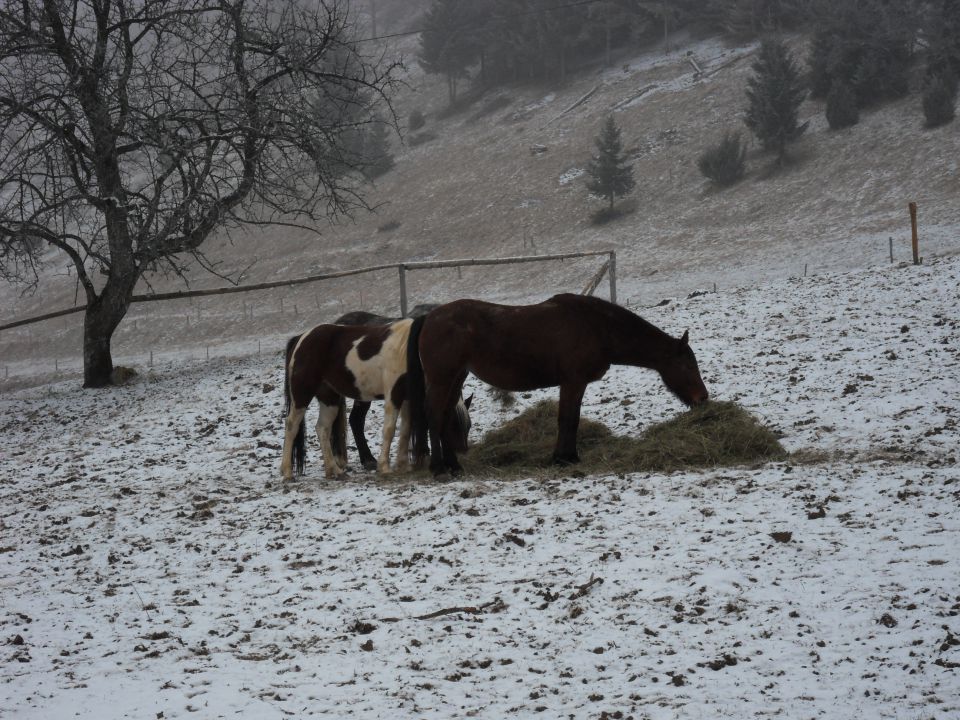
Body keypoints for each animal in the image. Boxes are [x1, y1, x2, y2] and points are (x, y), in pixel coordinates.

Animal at [402, 292, 708, 478]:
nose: (702, 398)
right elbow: (567, 419)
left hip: (456, 377)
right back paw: (439, 467)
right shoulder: (573, 382)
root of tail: (428, 318)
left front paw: (567, 456)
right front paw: (563, 458)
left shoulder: (574, 383)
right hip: (443, 377)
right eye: (688, 365)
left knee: (444, 417)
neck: (596, 326)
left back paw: (454, 465)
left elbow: (571, 418)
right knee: (434, 416)